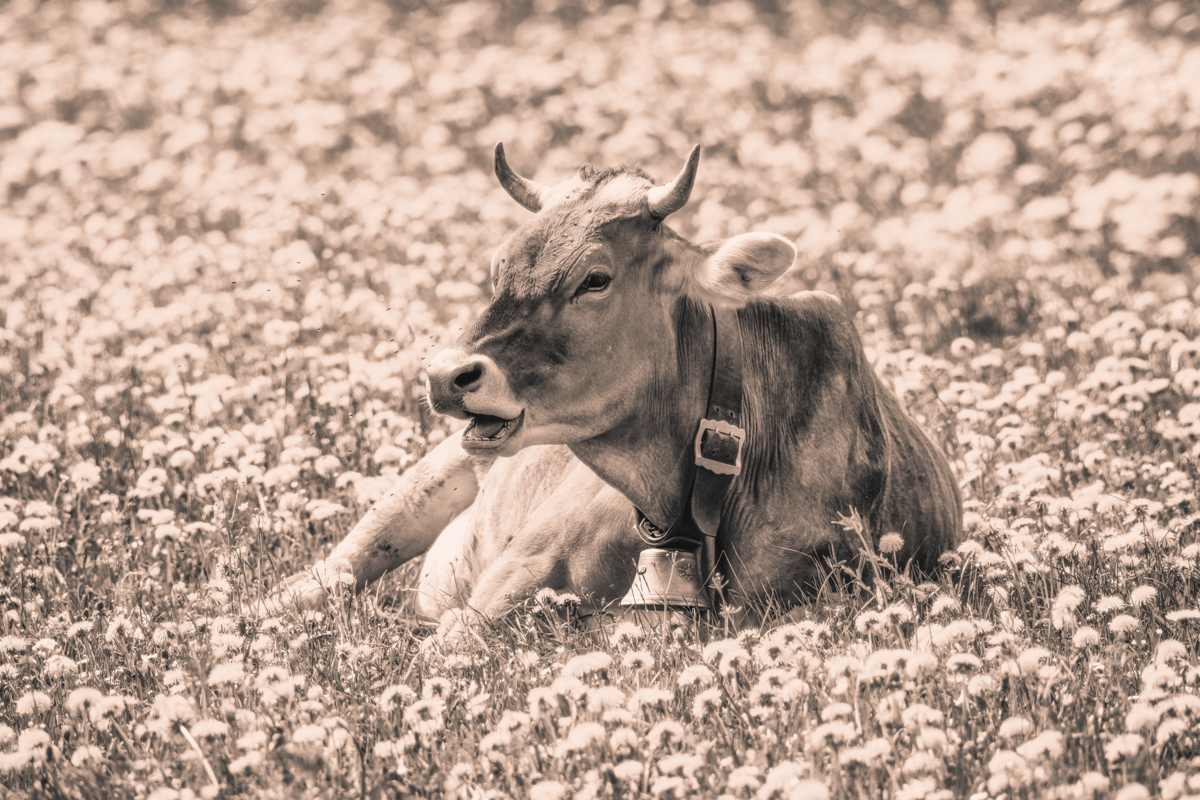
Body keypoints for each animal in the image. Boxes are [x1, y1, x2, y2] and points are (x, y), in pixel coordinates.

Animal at [265, 145, 962, 635]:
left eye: (595, 279)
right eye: (499, 266)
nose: (446, 375)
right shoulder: (513, 572)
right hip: (426, 481)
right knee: (325, 576)